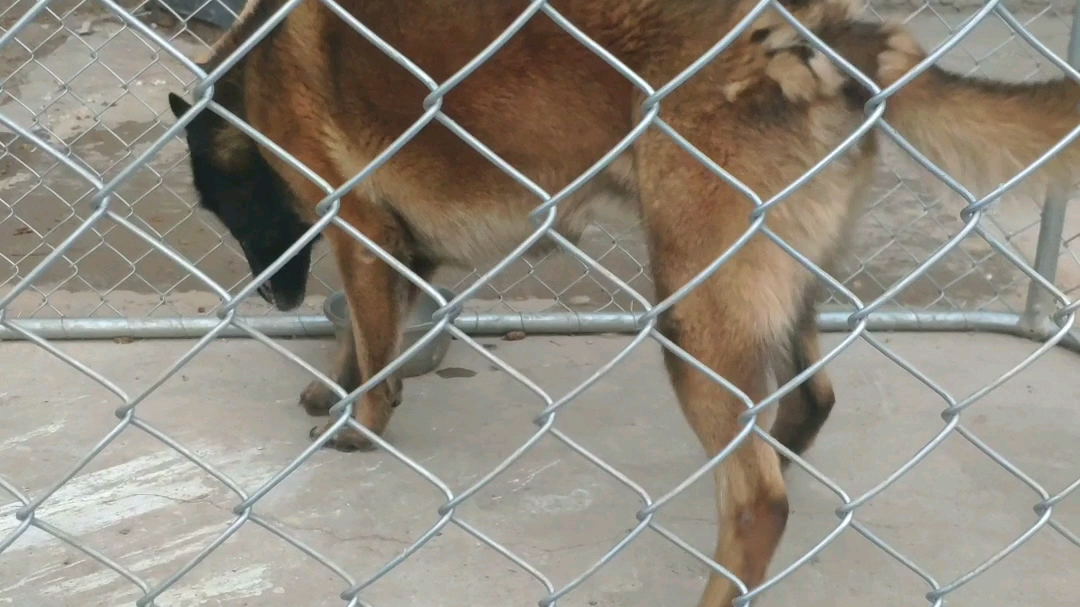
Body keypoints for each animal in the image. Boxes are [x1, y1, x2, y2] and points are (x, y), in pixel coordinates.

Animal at [168, 1, 1080, 600]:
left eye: (222, 205)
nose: (273, 295)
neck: (255, 69)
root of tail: (825, 35)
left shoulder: (356, 228)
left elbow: (370, 330)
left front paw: (359, 418)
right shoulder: (395, 245)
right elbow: (369, 334)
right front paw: (341, 382)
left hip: (692, 307)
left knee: (759, 500)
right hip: (766, 288)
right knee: (804, 406)